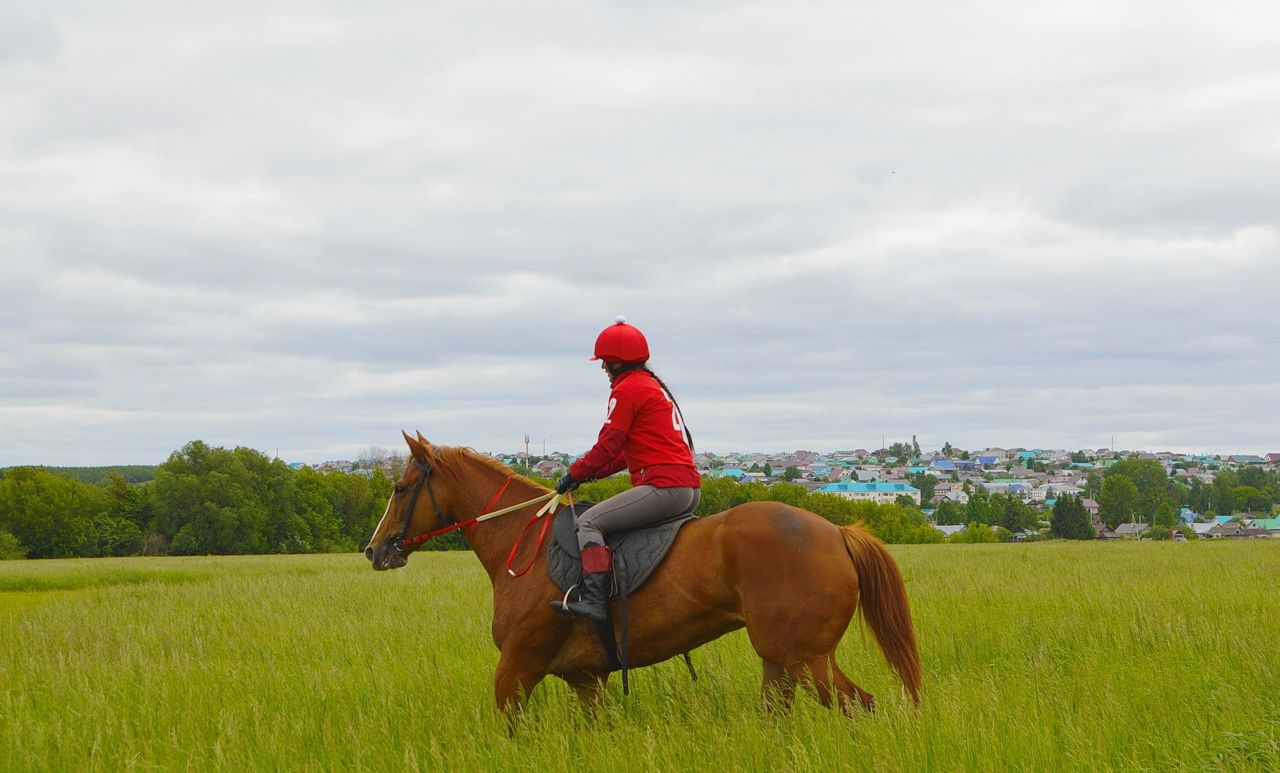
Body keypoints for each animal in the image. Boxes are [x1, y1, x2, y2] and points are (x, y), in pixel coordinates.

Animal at [363, 432, 921, 721]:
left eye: (400, 487)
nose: (374, 550)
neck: (524, 543)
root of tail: (836, 531)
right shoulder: (585, 680)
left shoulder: (517, 668)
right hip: (780, 662)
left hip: (807, 660)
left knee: (862, 706)